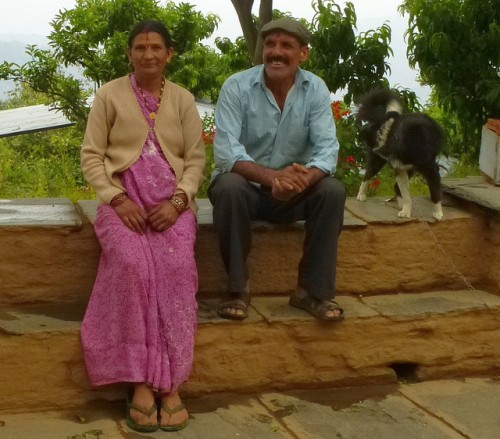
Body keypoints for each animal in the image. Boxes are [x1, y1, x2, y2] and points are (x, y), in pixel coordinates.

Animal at [356, 88, 446, 220]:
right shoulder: (400, 168)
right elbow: (406, 195)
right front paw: (406, 210)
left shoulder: (431, 169)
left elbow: (434, 192)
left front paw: (438, 213)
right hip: (379, 163)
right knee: (367, 176)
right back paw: (361, 195)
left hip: (405, 168)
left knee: (393, 185)